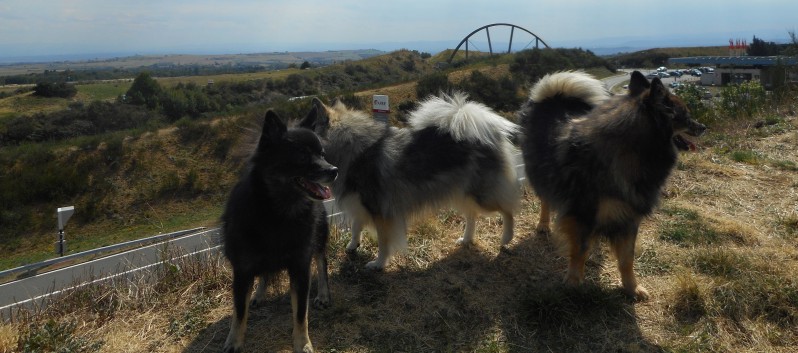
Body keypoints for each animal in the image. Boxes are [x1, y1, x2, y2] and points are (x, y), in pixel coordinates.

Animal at [220, 110, 340, 352]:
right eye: (302, 157)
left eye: (322, 154)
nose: (334, 170)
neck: (279, 211)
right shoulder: (242, 269)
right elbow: (239, 312)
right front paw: (234, 341)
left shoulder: (300, 266)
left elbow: (301, 314)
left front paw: (303, 344)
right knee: (265, 273)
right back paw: (258, 294)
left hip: (319, 237)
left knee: (322, 263)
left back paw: (323, 294)